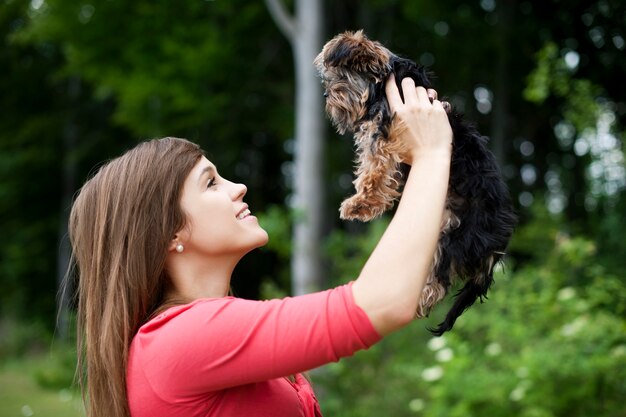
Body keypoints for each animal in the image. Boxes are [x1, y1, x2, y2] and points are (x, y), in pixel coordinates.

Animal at [314, 30, 516, 334]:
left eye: (339, 77)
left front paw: (359, 204)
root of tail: (498, 243)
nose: (327, 94)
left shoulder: (383, 131)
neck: (381, 82)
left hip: (456, 234)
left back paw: (419, 300)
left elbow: (374, 170)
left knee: (440, 277)